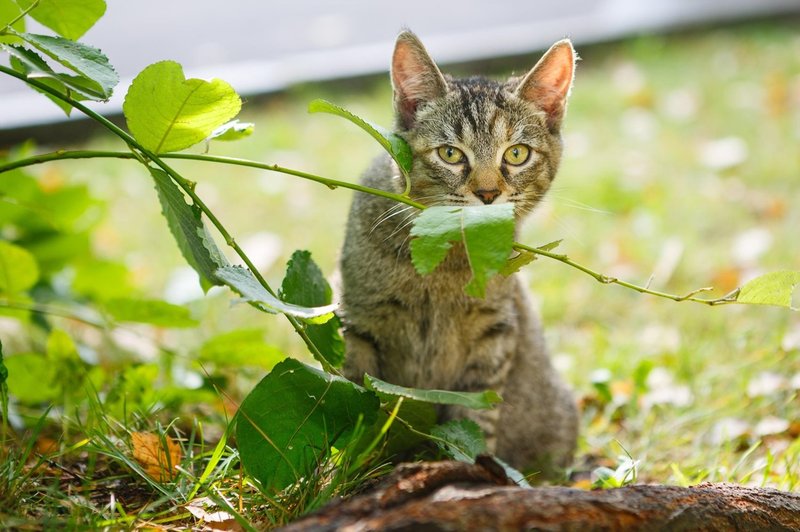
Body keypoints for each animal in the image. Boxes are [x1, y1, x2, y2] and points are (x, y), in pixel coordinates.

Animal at [340, 31, 580, 472]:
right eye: (450, 154)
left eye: (516, 154)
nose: (487, 193)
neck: (446, 258)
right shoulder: (357, 321)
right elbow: (351, 398)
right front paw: (343, 468)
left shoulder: (494, 336)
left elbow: (474, 415)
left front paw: (469, 467)